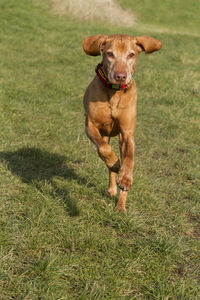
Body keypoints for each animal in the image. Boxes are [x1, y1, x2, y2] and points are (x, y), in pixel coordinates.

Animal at [82, 34, 162, 213]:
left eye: (131, 54)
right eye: (110, 54)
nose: (120, 76)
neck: (115, 91)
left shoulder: (127, 133)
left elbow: (129, 159)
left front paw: (125, 179)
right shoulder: (91, 126)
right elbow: (104, 150)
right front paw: (115, 163)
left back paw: (120, 205)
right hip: (105, 135)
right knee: (106, 154)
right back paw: (113, 181)